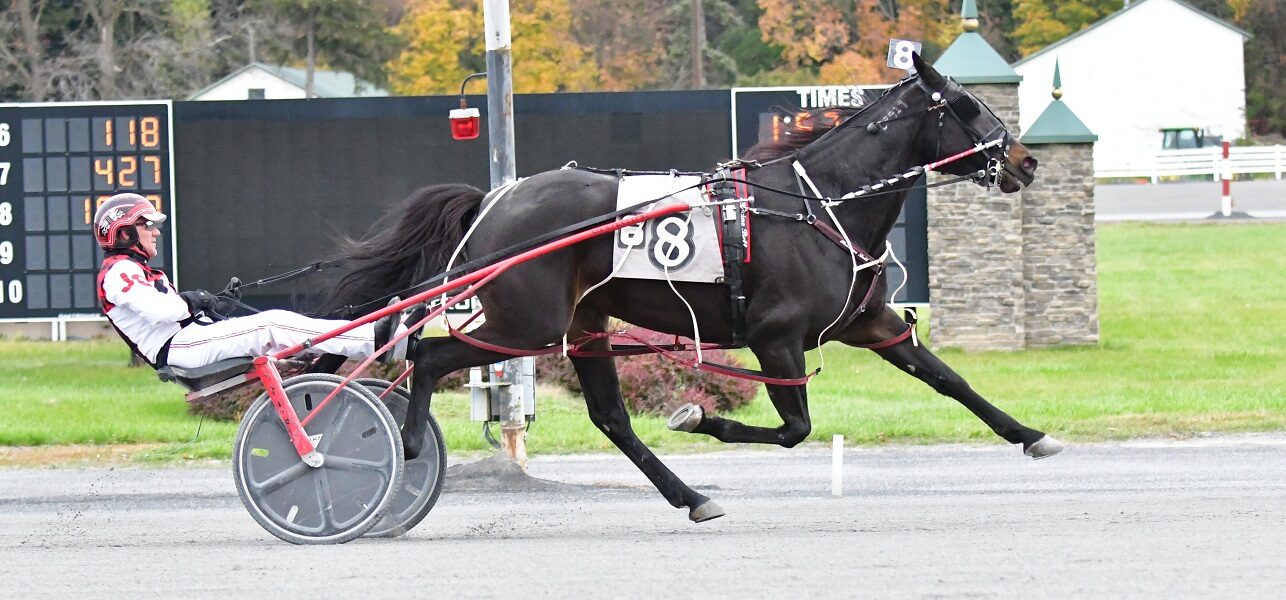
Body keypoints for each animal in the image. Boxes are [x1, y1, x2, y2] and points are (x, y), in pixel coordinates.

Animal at [322, 53, 1060, 522]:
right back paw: (408, 443)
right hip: (525, 325)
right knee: (427, 355)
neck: (818, 204)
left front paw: (1030, 434)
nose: (1026, 162)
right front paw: (700, 417)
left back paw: (691, 497)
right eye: (964, 106)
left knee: (611, 419)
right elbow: (795, 429)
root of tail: (493, 202)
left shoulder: (867, 323)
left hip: (583, 325)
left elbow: (949, 379)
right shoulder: (776, 337)